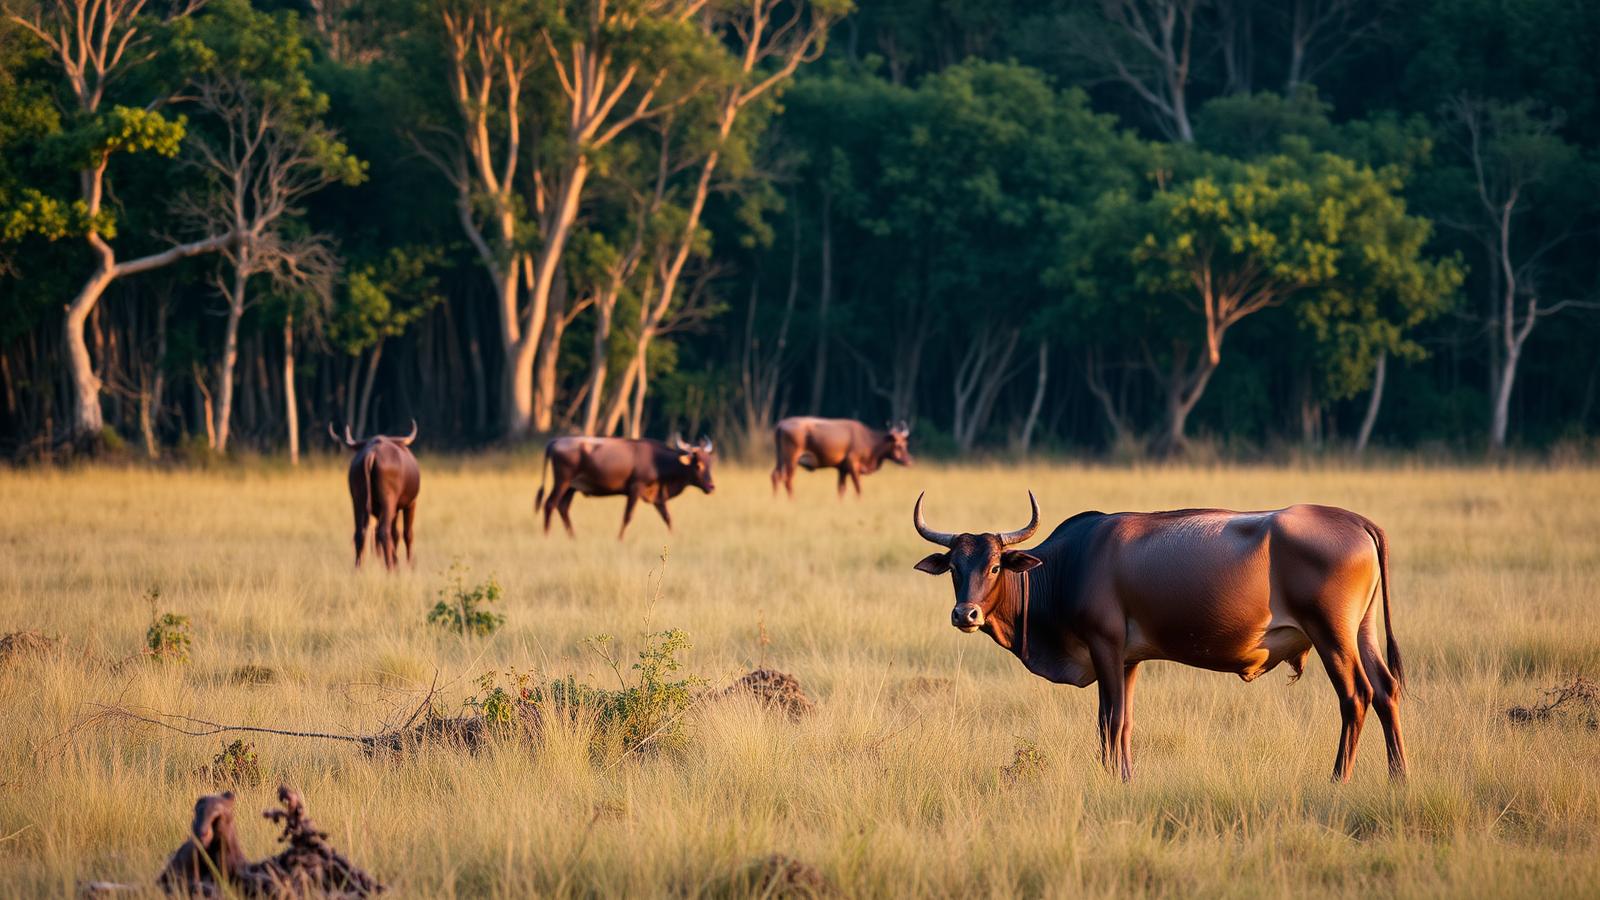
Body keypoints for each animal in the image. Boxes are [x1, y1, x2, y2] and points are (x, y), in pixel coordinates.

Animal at [330, 421, 420, 570]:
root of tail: (371, 454)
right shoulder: (410, 504)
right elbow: (407, 534)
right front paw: (410, 566)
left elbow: (394, 534)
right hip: (389, 503)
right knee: (384, 532)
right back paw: (390, 568)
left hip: (358, 501)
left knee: (361, 533)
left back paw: (358, 568)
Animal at [535, 434, 715, 539]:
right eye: (698, 465)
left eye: (709, 463)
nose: (711, 486)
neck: (657, 461)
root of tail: (556, 441)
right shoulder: (635, 488)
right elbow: (627, 516)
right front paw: (619, 539)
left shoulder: (658, 497)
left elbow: (668, 518)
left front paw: (675, 537)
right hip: (562, 481)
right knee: (549, 504)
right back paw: (546, 535)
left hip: (571, 487)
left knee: (563, 507)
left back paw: (573, 536)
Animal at [771, 417, 911, 498]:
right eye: (898, 445)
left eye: (906, 444)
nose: (909, 461)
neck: (869, 442)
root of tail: (781, 424)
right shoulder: (853, 466)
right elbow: (858, 489)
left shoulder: (842, 469)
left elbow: (841, 490)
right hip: (792, 459)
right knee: (787, 479)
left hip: (780, 459)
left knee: (775, 475)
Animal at [911, 492, 1406, 783]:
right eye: (954, 567)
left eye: (995, 565)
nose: (965, 613)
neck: (1069, 564)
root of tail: (1357, 521)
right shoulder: (1129, 660)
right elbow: (1125, 722)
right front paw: (1125, 777)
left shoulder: (1105, 648)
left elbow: (1109, 722)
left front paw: (1114, 779)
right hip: (1361, 633)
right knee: (1386, 691)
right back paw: (1398, 777)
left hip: (1331, 636)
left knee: (1356, 696)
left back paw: (1338, 779)